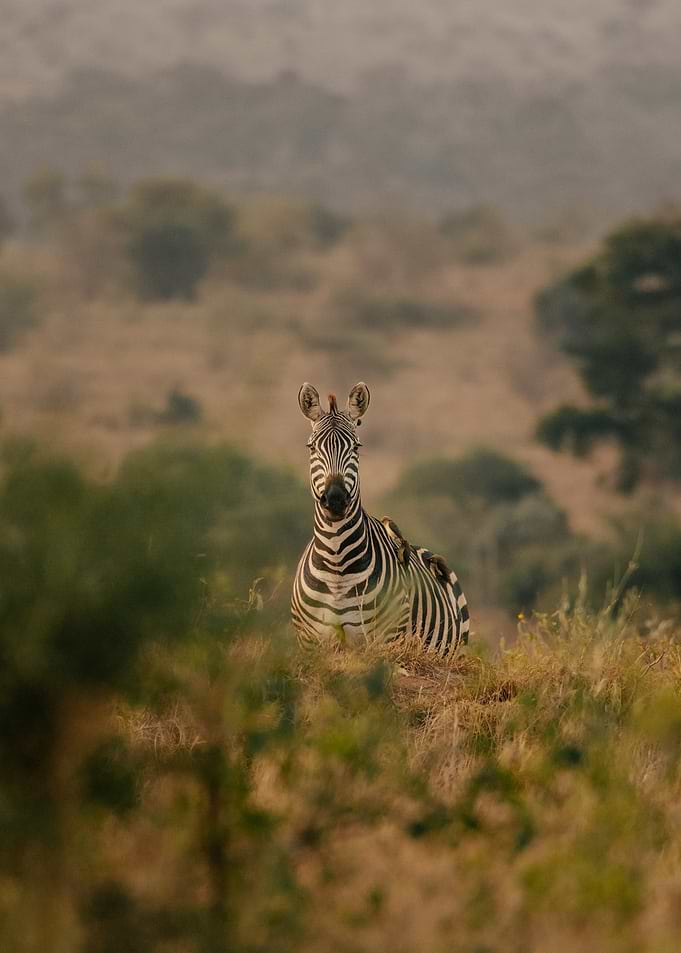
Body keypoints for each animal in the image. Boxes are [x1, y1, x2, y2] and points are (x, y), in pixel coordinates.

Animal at [291, 382, 470, 654]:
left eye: (356, 447)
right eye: (311, 448)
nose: (335, 499)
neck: (336, 563)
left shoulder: (386, 640)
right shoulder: (309, 642)